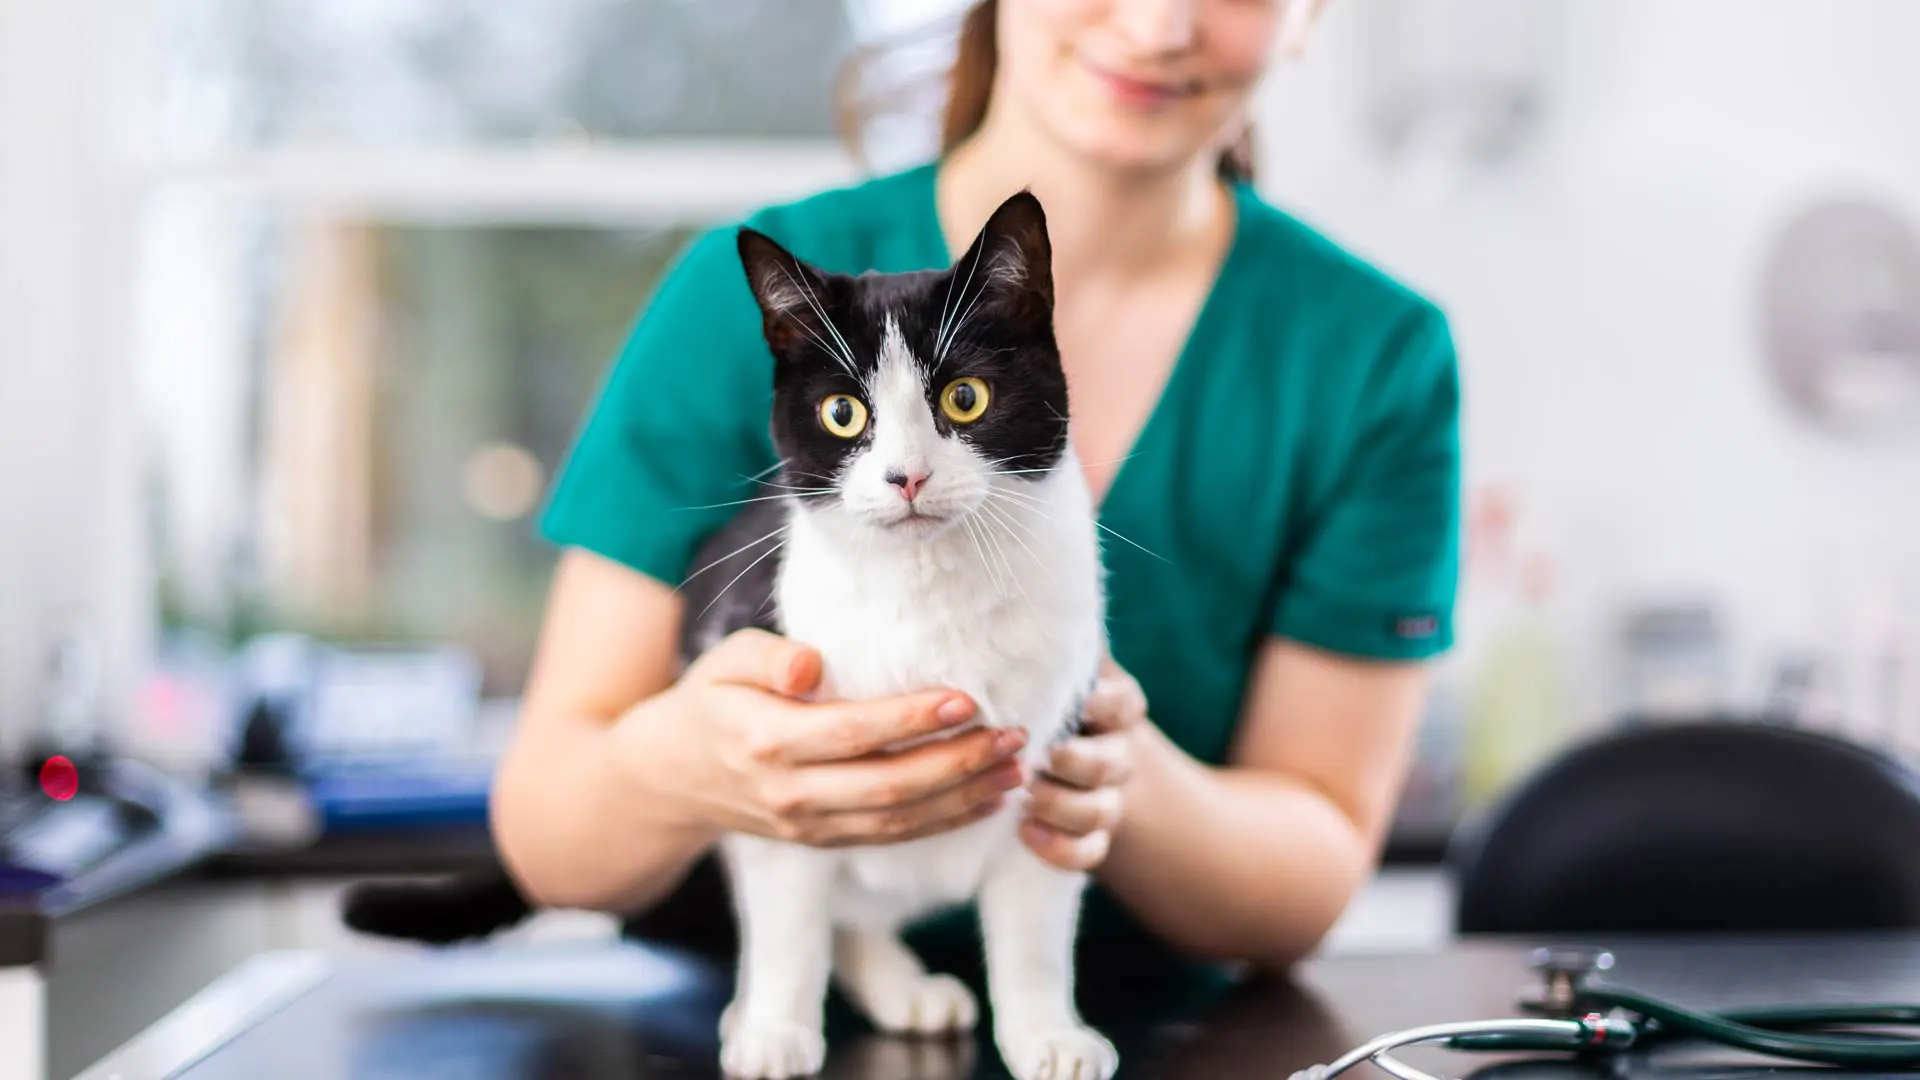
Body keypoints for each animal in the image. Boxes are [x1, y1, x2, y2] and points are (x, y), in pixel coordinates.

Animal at [343, 193, 1113, 1076]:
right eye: (843, 412)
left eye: (966, 399)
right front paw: (776, 1028)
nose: (907, 477)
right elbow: (787, 916)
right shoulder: (775, 758)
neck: (931, 593)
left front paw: (1048, 1034)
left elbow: (1033, 929)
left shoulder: (1059, 748)